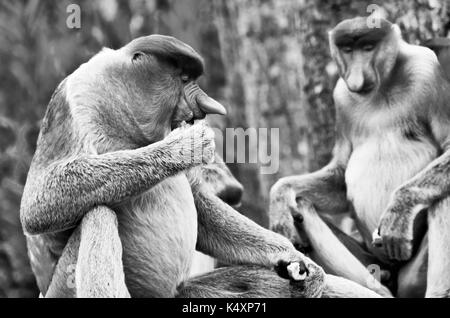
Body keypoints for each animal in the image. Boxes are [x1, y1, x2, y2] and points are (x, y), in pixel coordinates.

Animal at [268, 16, 450, 296]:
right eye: (347, 49)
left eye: (368, 47)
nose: (355, 78)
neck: (382, 87)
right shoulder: (340, 97)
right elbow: (340, 176)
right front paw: (279, 196)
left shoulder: (427, 71)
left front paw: (399, 210)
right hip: (369, 256)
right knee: (300, 204)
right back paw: (376, 286)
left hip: (413, 273)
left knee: (443, 196)